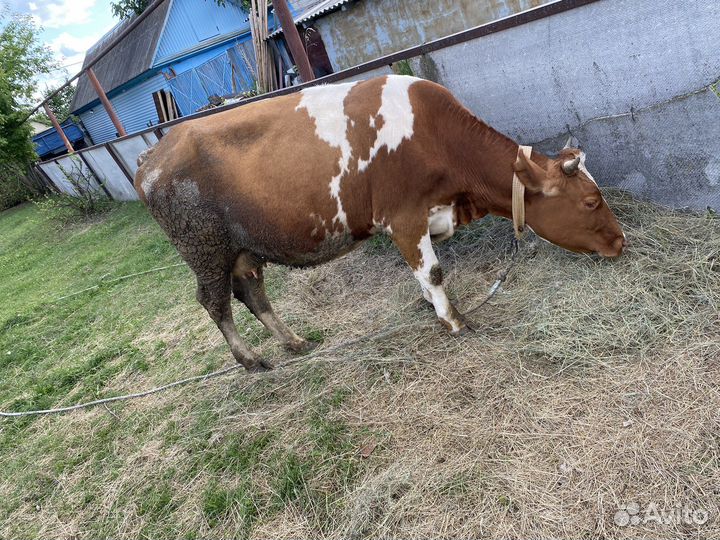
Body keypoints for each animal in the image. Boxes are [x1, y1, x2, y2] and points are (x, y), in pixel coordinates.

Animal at [135, 75, 626, 372]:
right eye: (590, 200)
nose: (621, 241)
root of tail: (153, 154)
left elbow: (421, 272)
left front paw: (430, 305)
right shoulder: (404, 214)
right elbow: (434, 270)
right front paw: (454, 321)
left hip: (242, 247)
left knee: (252, 293)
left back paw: (294, 342)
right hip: (204, 247)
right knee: (214, 302)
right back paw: (252, 359)